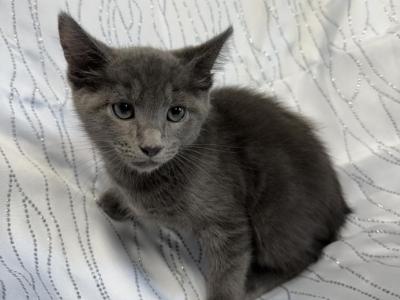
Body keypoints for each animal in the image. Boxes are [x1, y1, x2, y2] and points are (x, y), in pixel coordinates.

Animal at [57, 12, 348, 300]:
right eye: (123, 109)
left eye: (176, 113)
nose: (152, 147)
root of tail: (340, 206)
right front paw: (114, 200)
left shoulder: (228, 222)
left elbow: (228, 268)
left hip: (275, 217)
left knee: (307, 255)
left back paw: (256, 283)